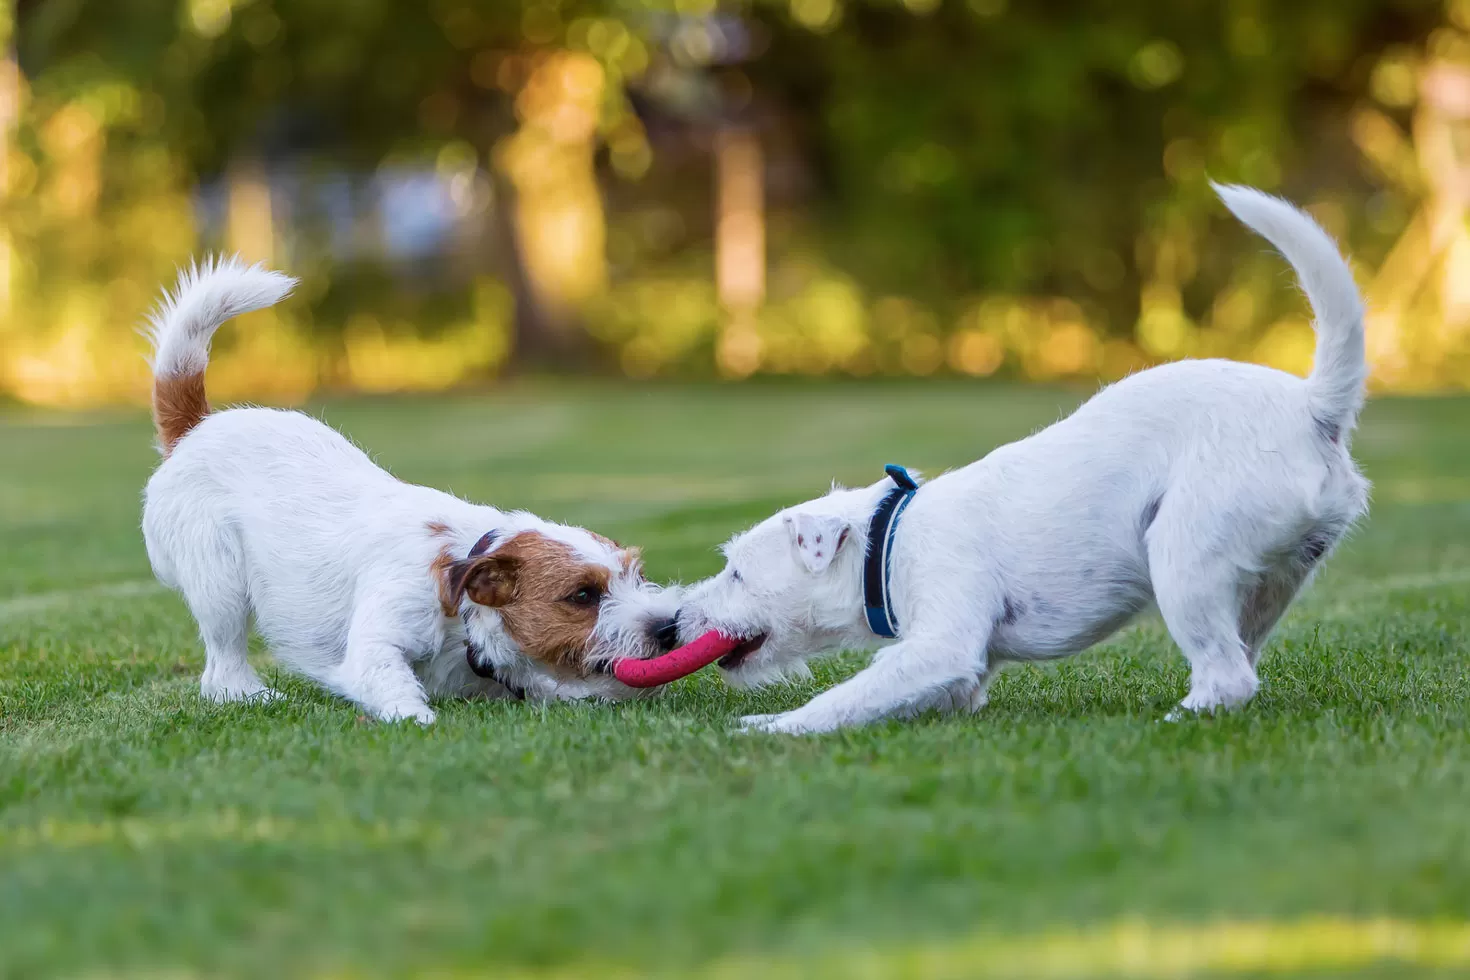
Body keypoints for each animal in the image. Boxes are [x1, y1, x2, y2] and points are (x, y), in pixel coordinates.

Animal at [143, 257, 682, 725]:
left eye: (637, 575)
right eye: (583, 595)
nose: (668, 627)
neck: (461, 603)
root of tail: (196, 427)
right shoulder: (378, 641)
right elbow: (389, 680)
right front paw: (416, 719)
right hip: (222, 588)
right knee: (221, 667)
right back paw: (252, 696)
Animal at [682, 185, 1370, 734]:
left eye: (737, 573)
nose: (674, 623)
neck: (887, 539)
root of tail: (1313, 407)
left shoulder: (941, 643)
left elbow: (845, 697)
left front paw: (769, 727)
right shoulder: (958, 672)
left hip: (1184, 554)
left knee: (1226, 677)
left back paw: (1171, 722)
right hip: (1266, 583)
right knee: (1240, 665)